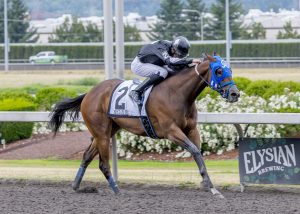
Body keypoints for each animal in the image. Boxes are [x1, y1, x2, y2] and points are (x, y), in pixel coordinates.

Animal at [49, 53, 241, 199]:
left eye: (230, 70)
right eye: (218, 70)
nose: (235, 93)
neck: (177, 93)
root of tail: (89, 93)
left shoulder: (191, 129)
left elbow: (198, 153)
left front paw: (209, 185)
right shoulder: (171, 131)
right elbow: (194, 150)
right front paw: (209, 185)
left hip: (108, 131)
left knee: (87, 156)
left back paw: (76, 186)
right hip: (101, 133)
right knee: (103, 164)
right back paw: (117, 190)